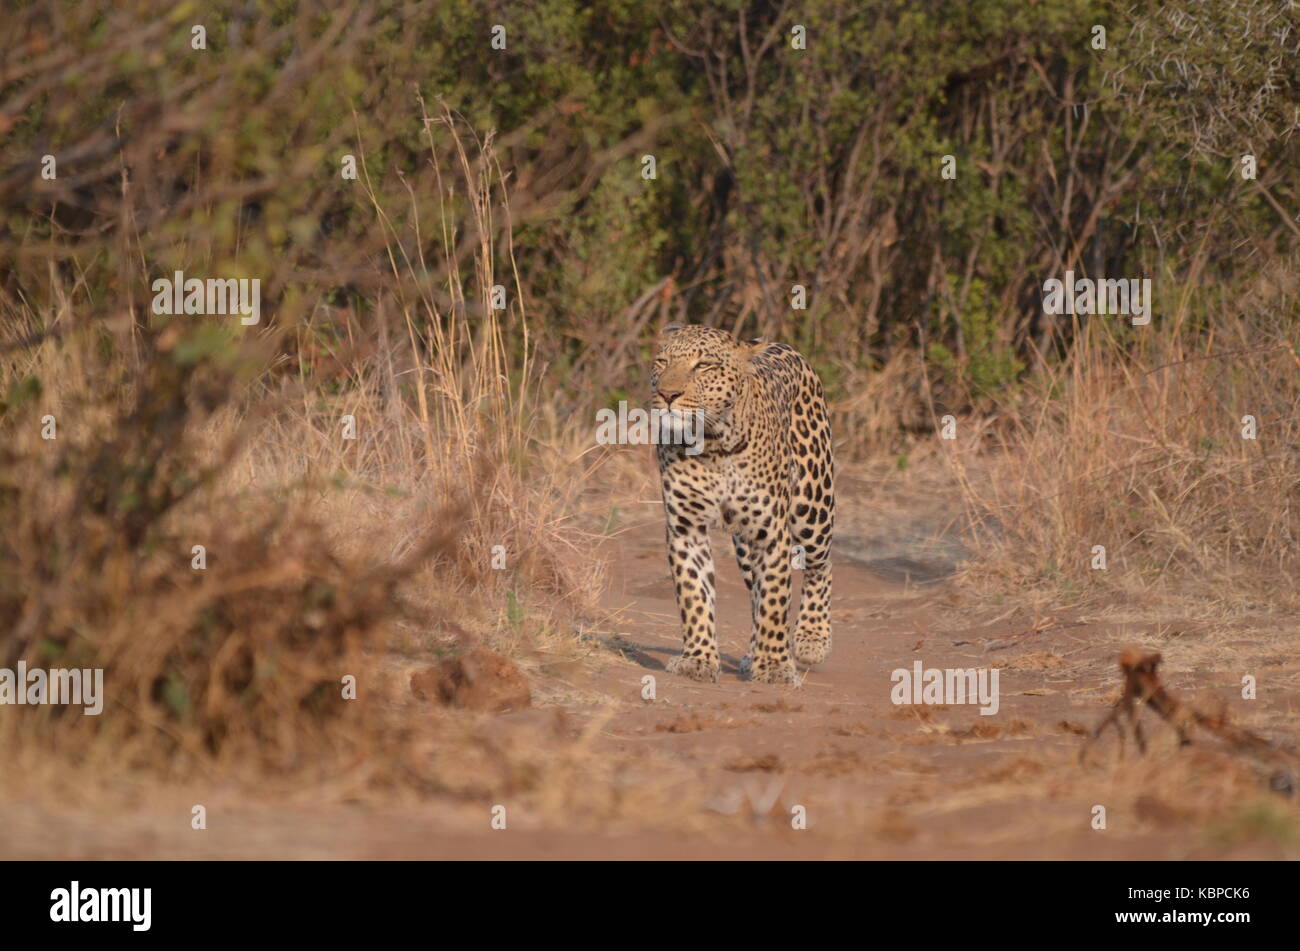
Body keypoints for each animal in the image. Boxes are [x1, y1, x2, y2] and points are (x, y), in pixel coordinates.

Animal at [647, 324, 832, 685]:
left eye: (703, 365)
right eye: (662, 362)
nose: (667, 394)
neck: (712, 445)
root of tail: (781, 345)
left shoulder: (771, 532)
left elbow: (775, 598)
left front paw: (774, 665)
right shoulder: (686, 529)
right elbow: (695, 595)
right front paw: (698, 659)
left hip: (812, 506)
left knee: (821, 565)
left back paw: (811, 638)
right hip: (745, 547)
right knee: (755, 592)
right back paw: (752, 653)